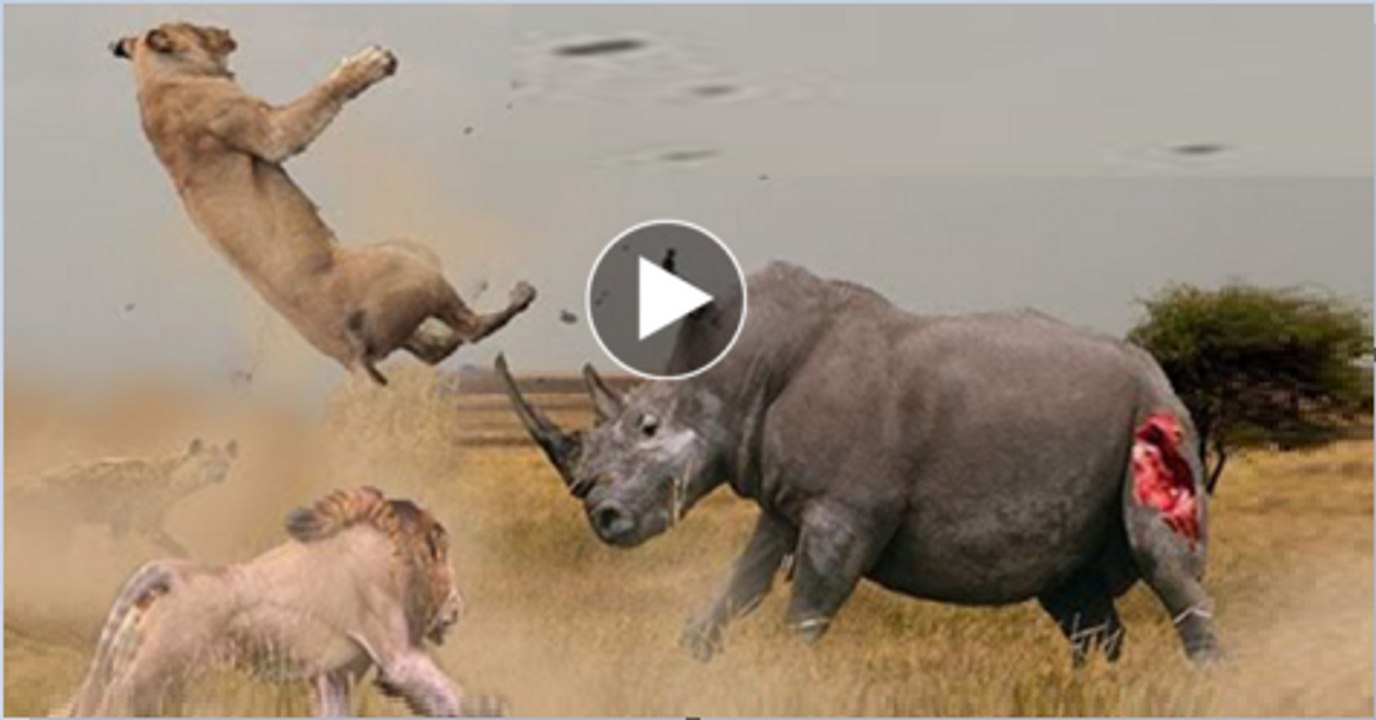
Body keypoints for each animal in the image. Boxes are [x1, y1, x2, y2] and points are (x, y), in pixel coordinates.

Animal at [61, 487, 502, 717]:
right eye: (444, 558)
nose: (459, 607)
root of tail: (172, 572)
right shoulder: (399, 656)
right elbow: (452, 694)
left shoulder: (333, 676)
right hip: (147, 676)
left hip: (137, 666)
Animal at [110, 22, 536, 385]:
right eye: (197, 27)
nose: (227, 30)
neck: (157, 82)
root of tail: (350, 354)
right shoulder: (269, 131)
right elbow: (317, 98)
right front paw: (368, 63)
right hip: (408, 260)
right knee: (473, 329)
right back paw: (519, 296)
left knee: (436, 350)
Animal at [497, 261, 1219, 665]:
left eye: (648, 426)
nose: (603, 517)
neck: (741, 370)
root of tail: (1157, 370)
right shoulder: (783, 502)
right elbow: (739, 588)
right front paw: (689, 663)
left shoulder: (846, 510)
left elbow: (807, 609)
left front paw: (785, 680)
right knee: (1076, 599)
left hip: (1158, 420)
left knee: (1165, 563)